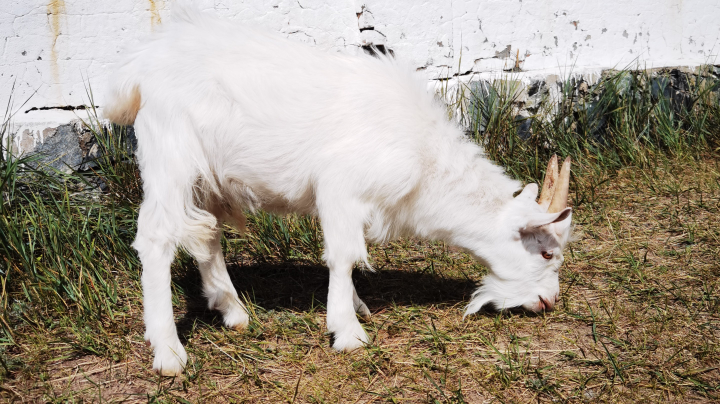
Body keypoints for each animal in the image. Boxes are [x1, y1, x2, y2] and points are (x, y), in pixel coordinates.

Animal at [102, 3, 572, 376]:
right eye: (546, 253)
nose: (549, 301)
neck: (425, 157)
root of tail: (141, 65)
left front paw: (355, 306)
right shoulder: (341, 189)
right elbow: (344, 256)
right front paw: (348, 330)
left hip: (208, 177)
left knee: (207, 233)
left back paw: (234, 312)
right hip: (171, 158)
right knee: (157, 237)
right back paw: (168, 352)